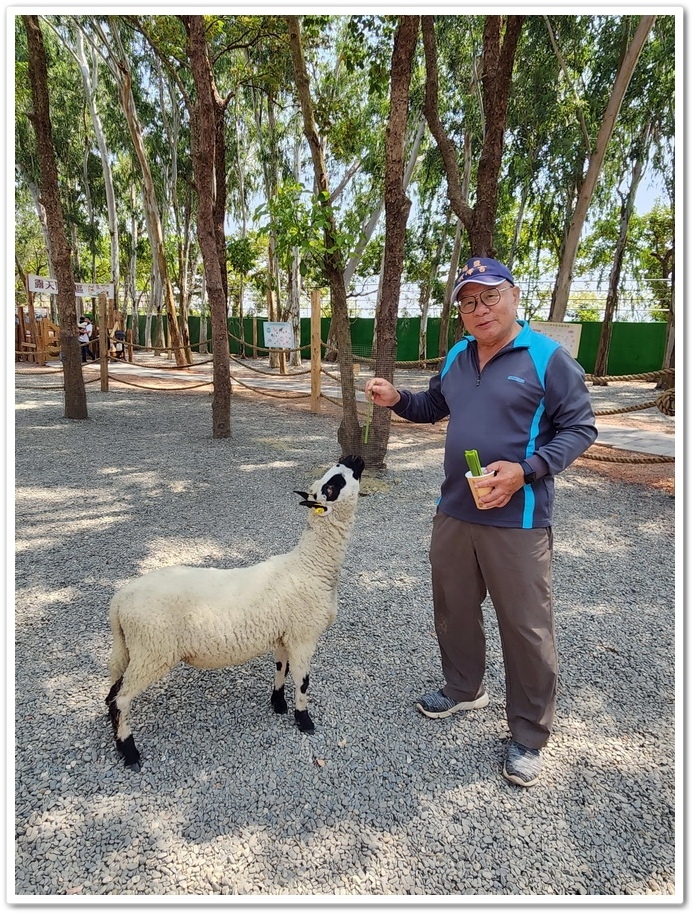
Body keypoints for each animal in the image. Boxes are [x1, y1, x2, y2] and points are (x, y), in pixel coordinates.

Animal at [104, 454, 364, 768]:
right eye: (332, 485)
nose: (352, 457)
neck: (311, 565)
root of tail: (120, 600)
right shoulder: (304, 635)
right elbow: (303, 681)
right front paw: (304, 721)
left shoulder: (284, 634)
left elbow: (281, 668)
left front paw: (278, 704)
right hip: (152, 649)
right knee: (121, 699)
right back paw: (129, 752)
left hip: (131, 649)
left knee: (112, 692)